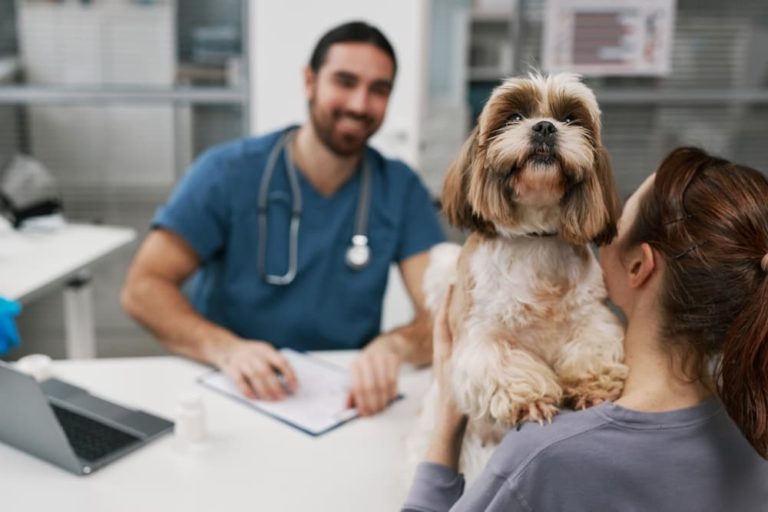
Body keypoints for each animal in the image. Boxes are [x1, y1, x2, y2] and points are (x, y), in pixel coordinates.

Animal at [412, 73, 628, 484]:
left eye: (570, 118)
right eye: (513, 116)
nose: (544, 126)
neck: (535, 239)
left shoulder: (592, 318)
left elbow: (592, 347)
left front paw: (593, 387)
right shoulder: (478, 335)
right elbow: (501, 362)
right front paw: (532, 401)